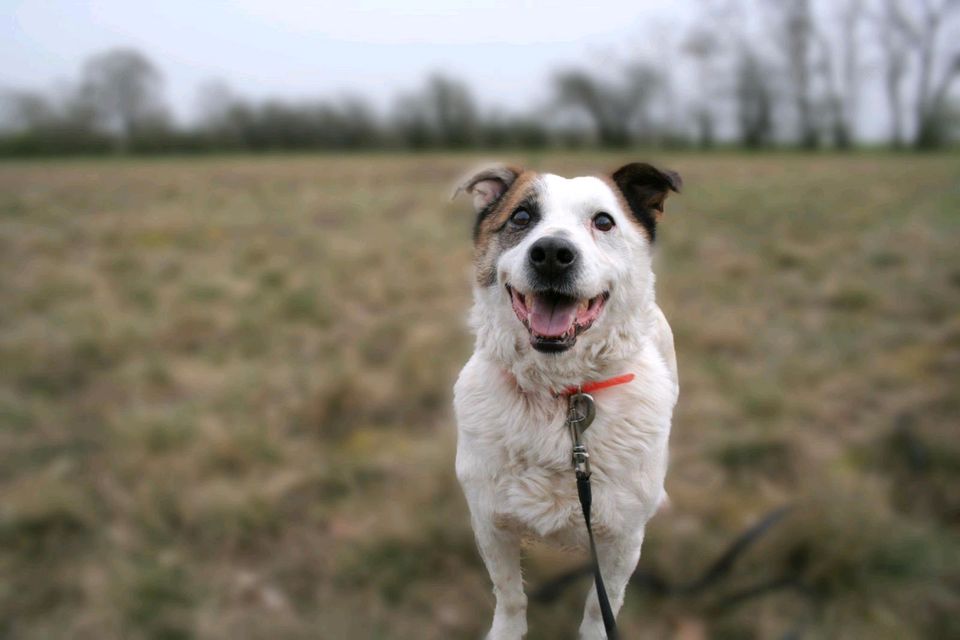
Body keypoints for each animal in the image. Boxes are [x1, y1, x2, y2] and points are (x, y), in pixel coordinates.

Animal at [452, 162, 684, 636]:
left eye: (604, 221)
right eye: (521, 217)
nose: (552, 253)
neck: (560, 395)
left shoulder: (622, 540)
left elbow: (601, 605)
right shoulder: (490, 523)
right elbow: (510, 595)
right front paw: (507, 632)